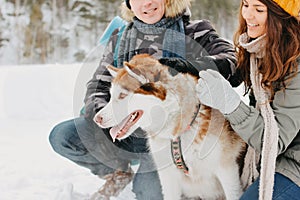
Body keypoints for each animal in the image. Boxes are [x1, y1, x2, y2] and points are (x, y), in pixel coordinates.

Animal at [94, 54, 246, 199]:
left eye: (122, 95)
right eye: (111, 95)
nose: (97, 119)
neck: (177, 135)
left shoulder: (226, 170)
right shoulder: (168, 177)